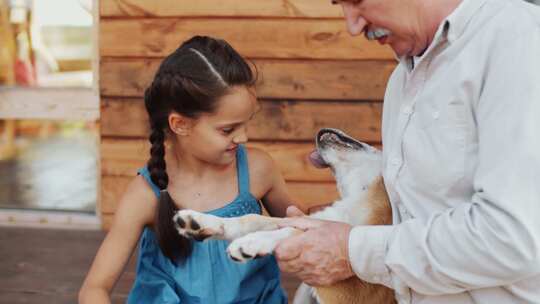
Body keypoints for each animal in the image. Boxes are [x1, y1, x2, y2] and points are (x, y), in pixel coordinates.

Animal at [174, 128, 396, 304]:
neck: (360, 192)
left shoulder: (349, 291)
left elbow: (295, 233)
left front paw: (251, 243)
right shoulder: (311, 218)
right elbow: (254, 219)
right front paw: (202, 222)